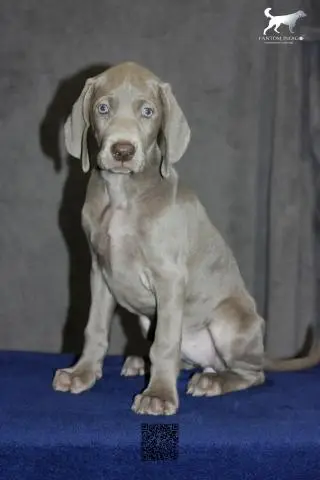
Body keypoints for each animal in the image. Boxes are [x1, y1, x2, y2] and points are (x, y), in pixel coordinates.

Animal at [53, 62, 320, 414]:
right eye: (103, 108)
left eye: (148, 111)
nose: (122, 151)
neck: (123, 193)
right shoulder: (100, 271)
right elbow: (94, 326)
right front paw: (81, 373)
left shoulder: (169, 277)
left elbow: (165, 342)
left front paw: (158, 395)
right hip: (148, 319)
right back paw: (141, 363)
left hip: (229, 321)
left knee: (252, 373)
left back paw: (213, 382)